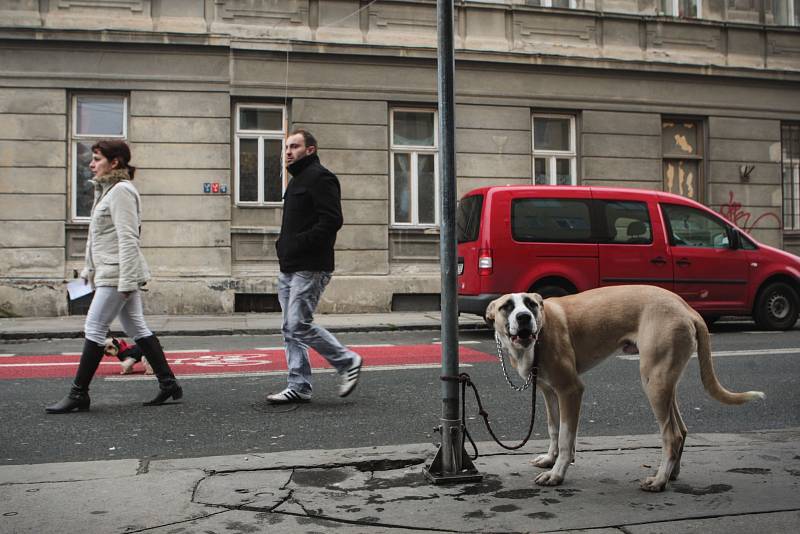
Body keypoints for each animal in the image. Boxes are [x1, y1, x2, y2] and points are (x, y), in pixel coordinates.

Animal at [484, 284, 764, 494]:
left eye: (530, 304)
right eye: (507, 306)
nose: (523, 318)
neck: (538, 336)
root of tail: (686, 307)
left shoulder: (570, 390)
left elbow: (565, 436)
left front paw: (557, 473)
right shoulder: (549, 391)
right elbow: (555, 429)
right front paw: (550, 460)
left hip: (654, 381)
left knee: (671, 435)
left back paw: (658, 481)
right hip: (664, 382)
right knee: (681, 430)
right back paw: (671, 474)